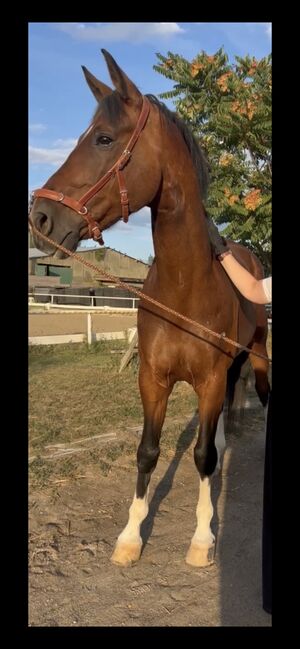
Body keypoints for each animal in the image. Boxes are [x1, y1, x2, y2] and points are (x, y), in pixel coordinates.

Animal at [29, 49, 270, 568]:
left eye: (103, 138)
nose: (40, 217)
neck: (184, 288)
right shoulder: (153, 379)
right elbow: (148, 452)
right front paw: (130, 537)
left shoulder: (209, 379)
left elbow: (201, 457)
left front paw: (201, 540)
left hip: (257, 356)